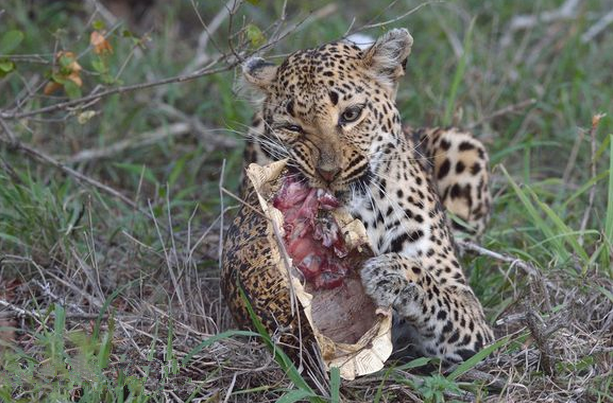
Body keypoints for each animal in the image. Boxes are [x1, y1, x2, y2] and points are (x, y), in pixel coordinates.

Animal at [237, 27, 494, 362]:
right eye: (292, 128)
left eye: (351, 114)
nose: (328, 173)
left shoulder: (472, 315)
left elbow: (442, 300)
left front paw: (397, 276)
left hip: (465, 148)